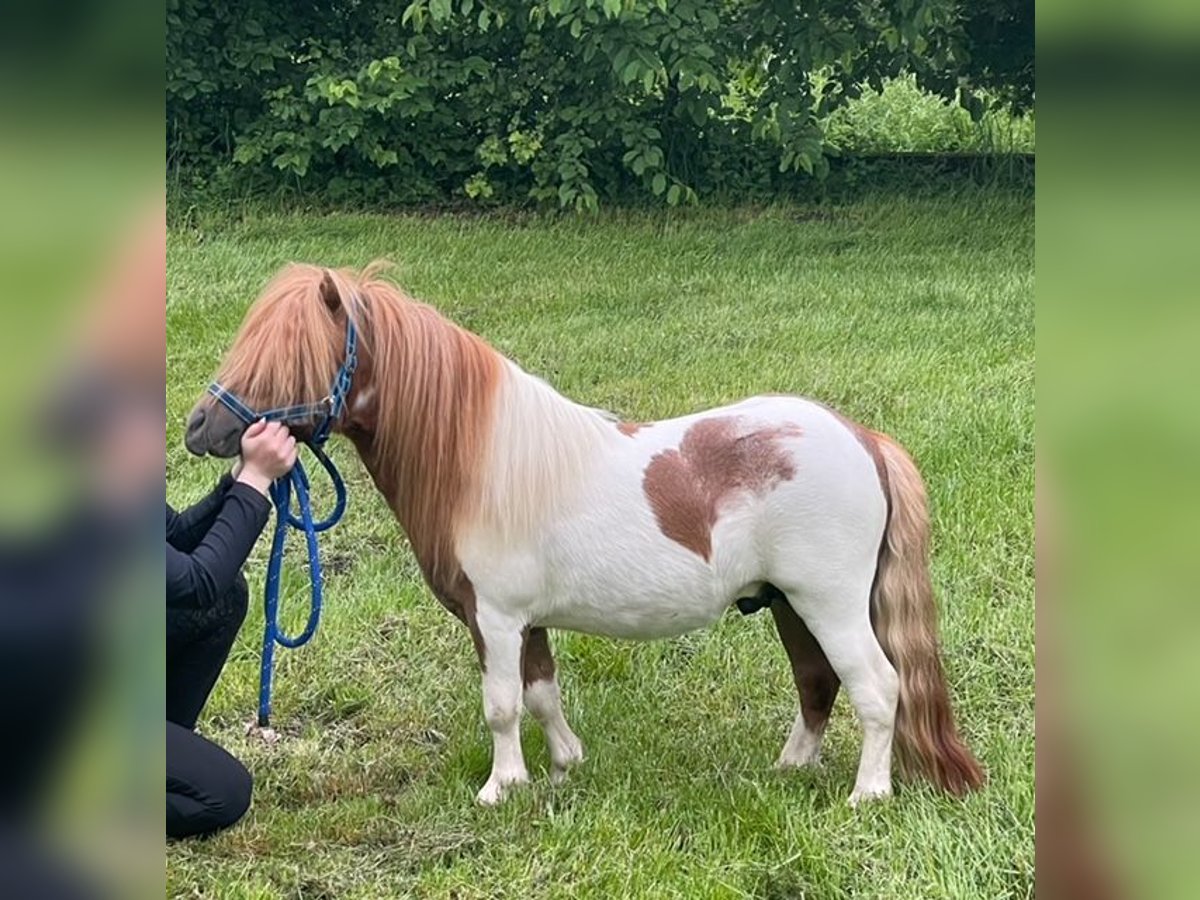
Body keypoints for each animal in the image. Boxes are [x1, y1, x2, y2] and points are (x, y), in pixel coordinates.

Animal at [182, 264, 979, 806]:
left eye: (289, 354)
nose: (199, 428)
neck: (481, 461)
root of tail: (863, 438)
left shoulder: (497, 618)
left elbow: (503, 704)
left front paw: (502, 788)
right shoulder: (522, 622)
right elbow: (541, 694)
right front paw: (565, 766)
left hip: (829, 603)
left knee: (876, 685)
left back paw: (867, 794)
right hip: (789, 603)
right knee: (818, 681)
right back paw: (790, 768)